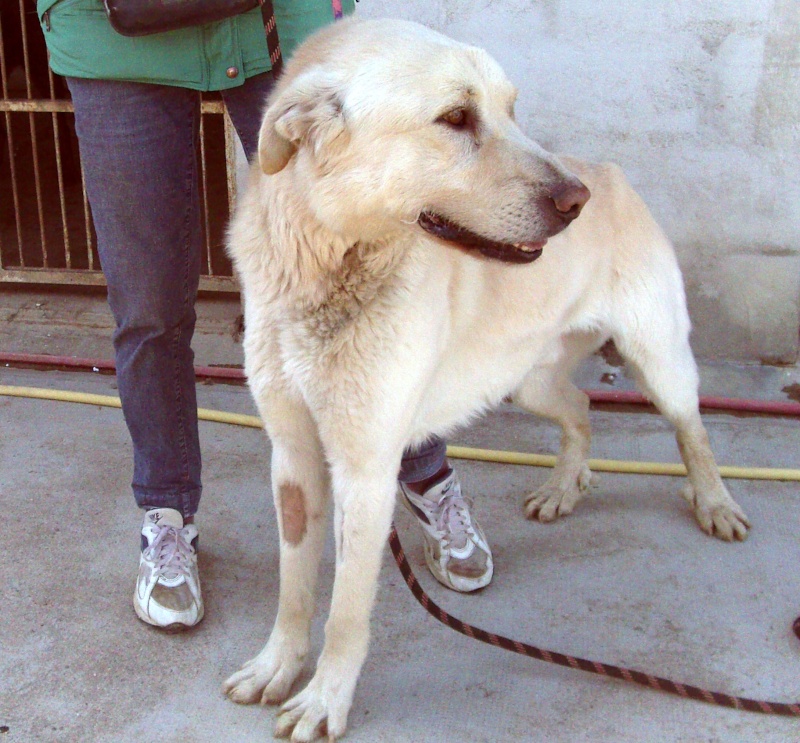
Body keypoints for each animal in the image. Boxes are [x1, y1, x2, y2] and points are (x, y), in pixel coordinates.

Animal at [220, 16, 752, 740]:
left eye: (511, 109)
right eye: (455, 117)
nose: (576, 200)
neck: (326, 263)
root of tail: (613, 173)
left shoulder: (366, 470)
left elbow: (346, 612)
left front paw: (325, 699)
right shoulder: (294, 456)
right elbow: (293, 585)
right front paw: (277, 665)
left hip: (659, 360)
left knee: (691, 427)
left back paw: (714, 502)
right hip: (525, 378)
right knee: (581, 408)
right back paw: (563, 488)